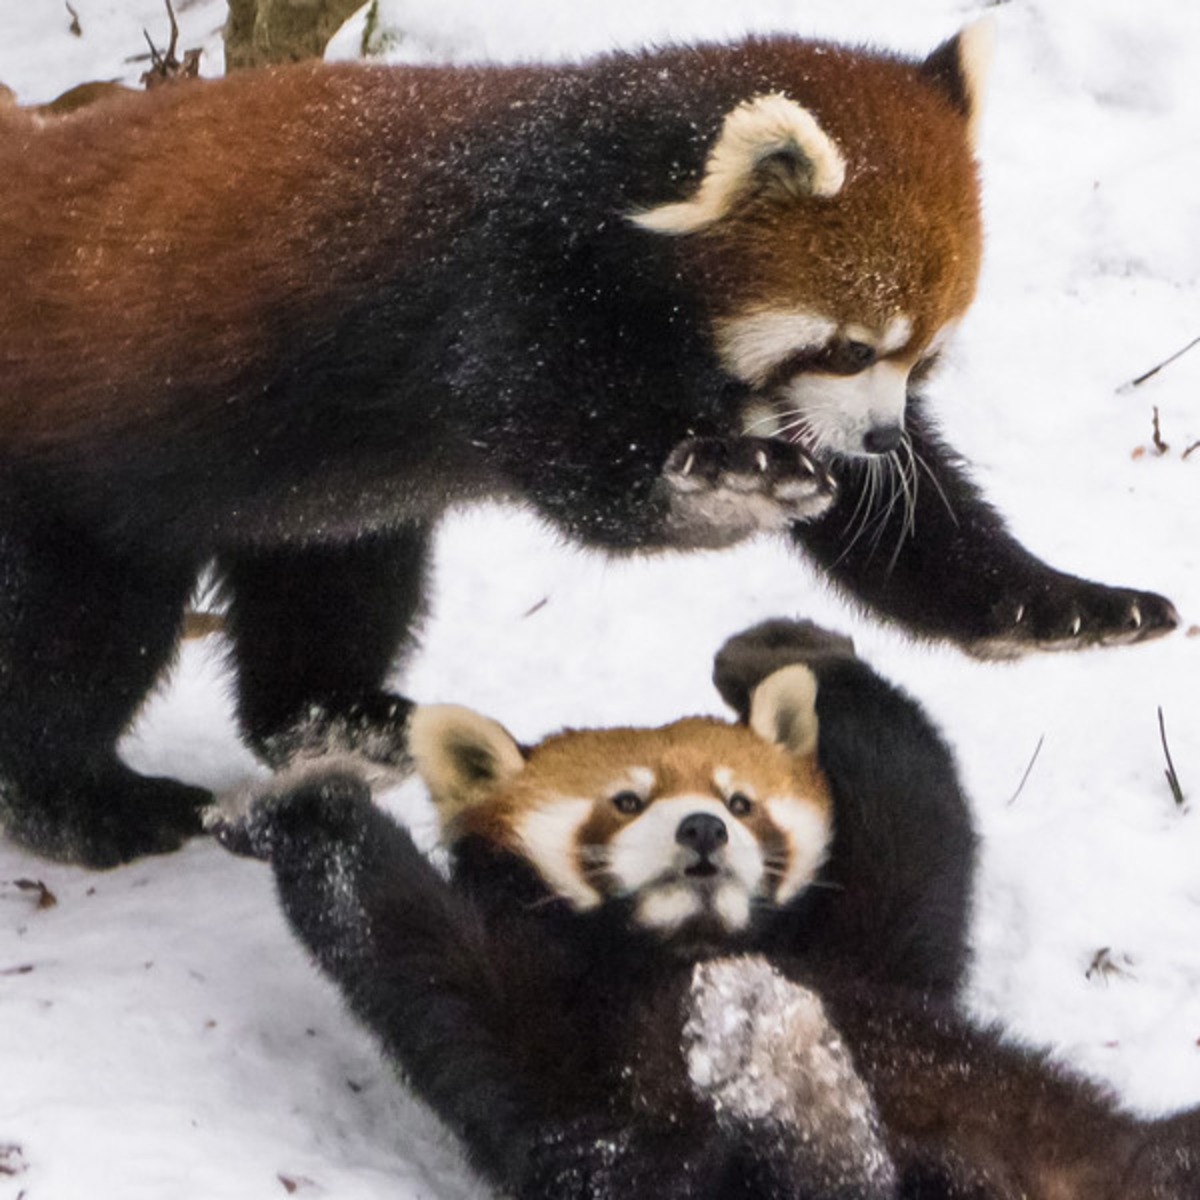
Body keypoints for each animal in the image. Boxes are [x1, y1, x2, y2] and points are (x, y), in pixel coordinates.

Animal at [0, 22, 1177, 866]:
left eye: (922, 358)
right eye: (849, 347)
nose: (878, 437)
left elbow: (915, 532)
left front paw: (1056, 608)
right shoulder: (505, 304)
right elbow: (597, 490)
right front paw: (729, 482)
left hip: (317, 495)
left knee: (335, 583)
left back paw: (344, 717)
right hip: (68, 481)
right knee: (75, 641)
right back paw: (84, 803)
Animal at [220, 621, 1200, 1199]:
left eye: (740, 801)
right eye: (625, 802)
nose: (701, 829)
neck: (688, 950)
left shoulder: (876, 950)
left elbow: (916, 815)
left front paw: (789, 651)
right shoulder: (565, 1078)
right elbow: (416, 950)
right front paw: (304, 798)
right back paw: (782, 1073)